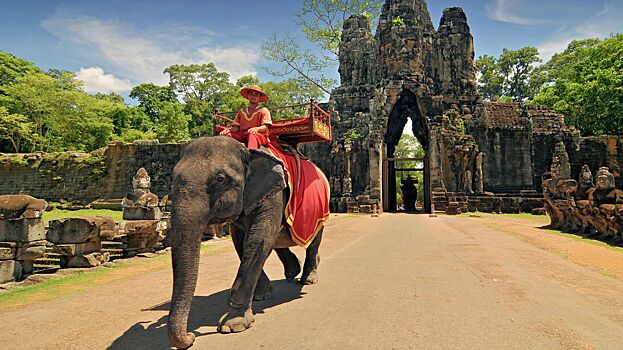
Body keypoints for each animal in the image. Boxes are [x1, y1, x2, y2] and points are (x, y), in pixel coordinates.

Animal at [168, 137, 324, 350]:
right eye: (172, 178)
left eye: (220, 179)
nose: (190, 337)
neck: (247, 149)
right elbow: (242, 242)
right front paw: (261, 296)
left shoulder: (274, 195)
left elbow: (259, 239)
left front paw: (233, 325)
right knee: (278, 240)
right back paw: (292, 272)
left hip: (320, 209)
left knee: (313, 241)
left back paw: (308, 278)